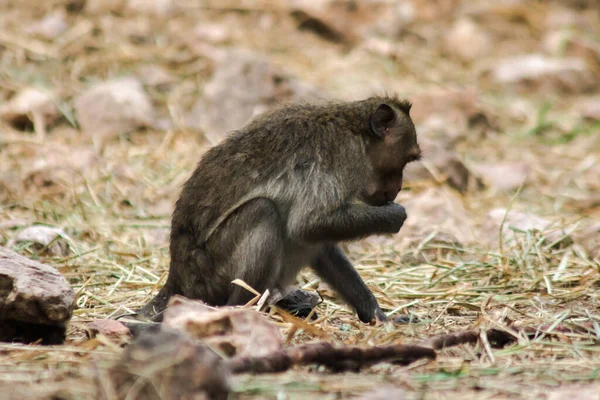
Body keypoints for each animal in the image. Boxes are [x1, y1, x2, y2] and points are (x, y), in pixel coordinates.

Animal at [140, 94, 422, 324]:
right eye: (406, 160)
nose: (398, 188)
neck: (357, 133)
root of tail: (177, 278)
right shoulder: (345, 159)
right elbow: (307, 225)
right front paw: (395, 216)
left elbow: (320, 244)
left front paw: (377, 317)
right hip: (209, 273)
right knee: (263, 211)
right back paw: (243, 310)